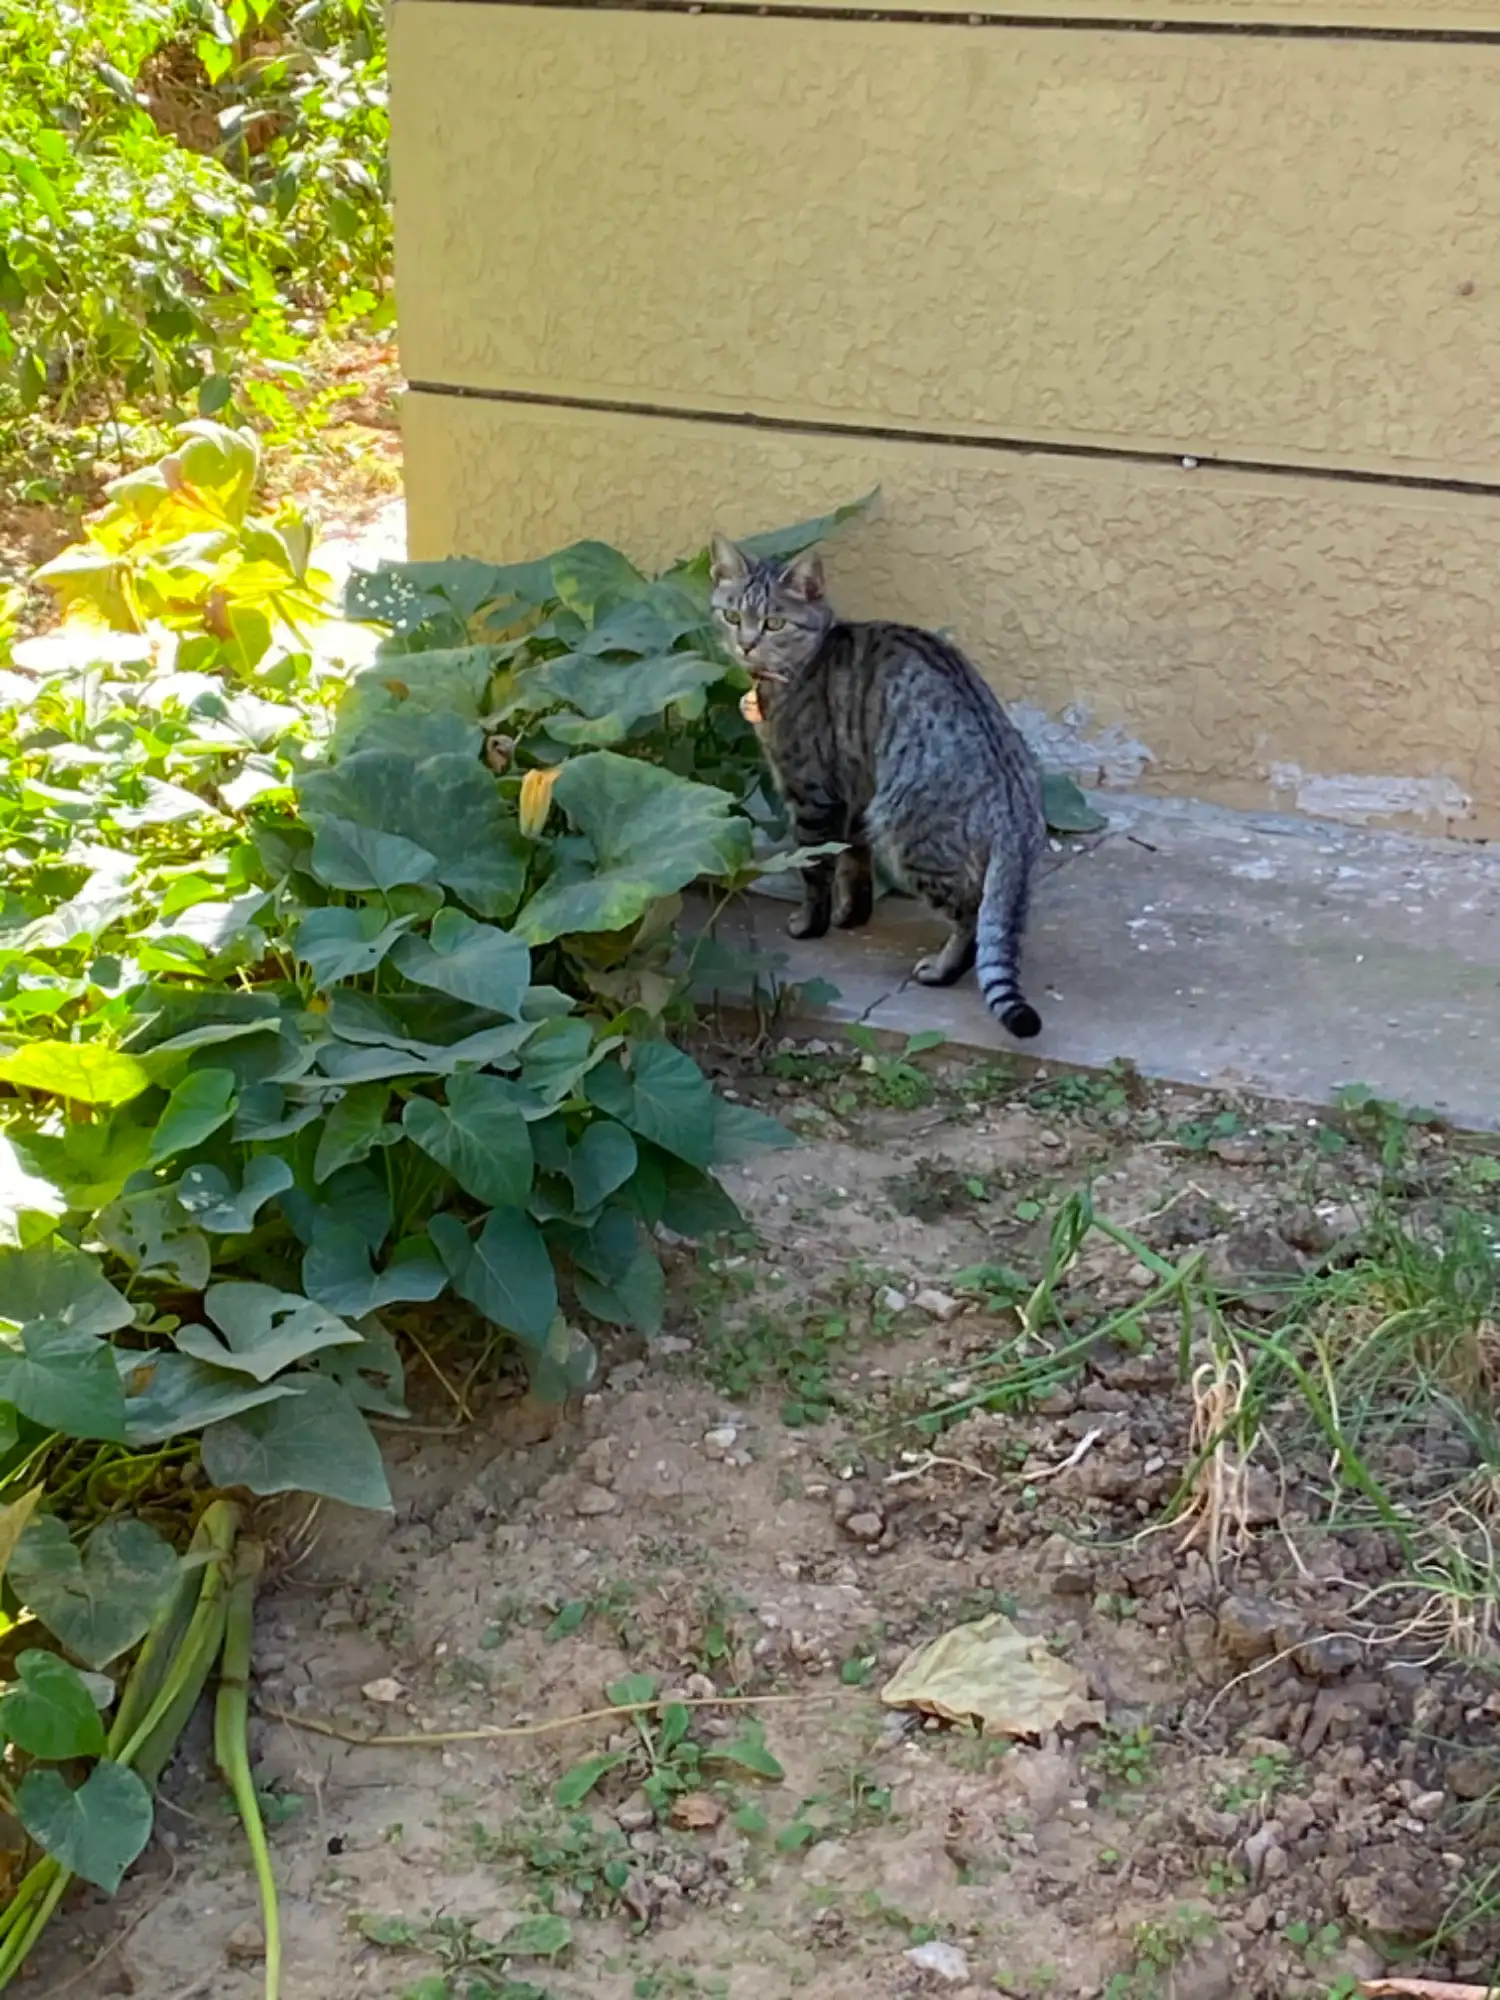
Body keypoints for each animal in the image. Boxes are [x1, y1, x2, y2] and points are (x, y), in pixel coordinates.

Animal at [712, 540, 1048, 1040]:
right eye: (732, 616)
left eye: (774, 623)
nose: (746, 643)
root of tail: (1017, 808)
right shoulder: (856, 793)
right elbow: (853, 862)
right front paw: (852, 915)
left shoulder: (812, 793)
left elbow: (815, 869)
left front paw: (810, 924)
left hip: (908, 838)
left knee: (971, 918)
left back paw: (941, 970)